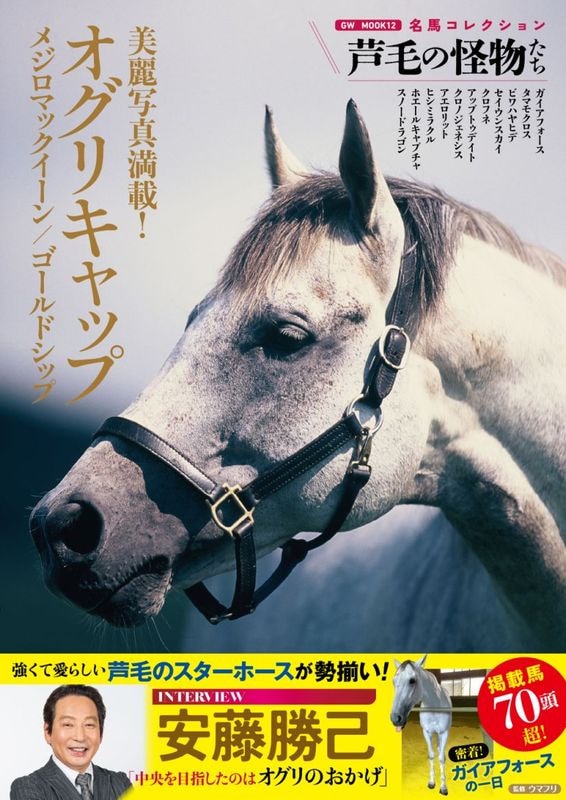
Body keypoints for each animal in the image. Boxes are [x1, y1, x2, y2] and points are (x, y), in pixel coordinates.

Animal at [390, 656, 452, 795]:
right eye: (394, 681)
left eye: (412, 680)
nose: (395, 718)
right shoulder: (427, 732)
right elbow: (431, 755)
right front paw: (431, 783)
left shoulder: (444, 733)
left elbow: (441, 758)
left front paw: (443, 788)